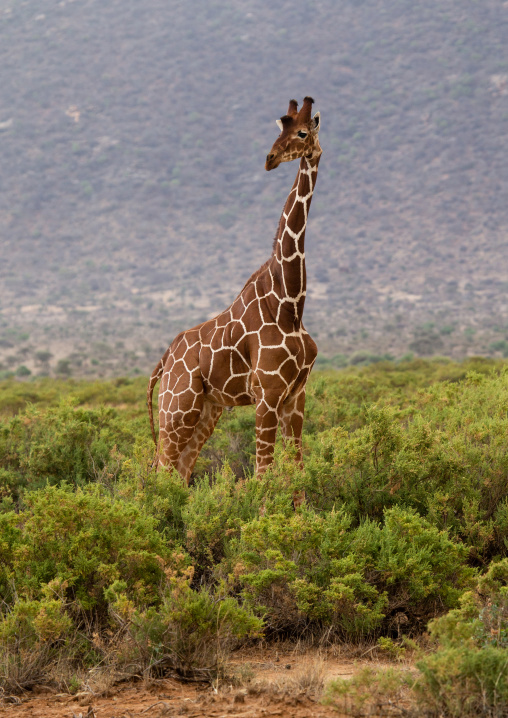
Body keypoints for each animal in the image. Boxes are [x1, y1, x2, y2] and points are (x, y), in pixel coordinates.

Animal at [147, 96, 322, 482]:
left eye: (302, 132)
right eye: (280, 128)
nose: (270, 159)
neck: (290, 302)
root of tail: (163, 361)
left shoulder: (296, 395)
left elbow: (297, 472)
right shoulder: (267, 394)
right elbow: (263, 473)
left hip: (207, 409)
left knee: (180, 472)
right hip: (176, 410)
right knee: (161, 471)